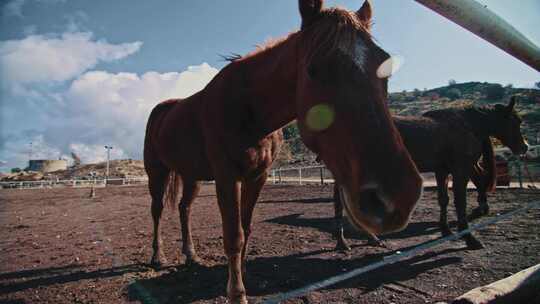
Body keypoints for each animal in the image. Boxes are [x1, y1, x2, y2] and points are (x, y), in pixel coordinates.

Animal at [144, 1, 426, 302]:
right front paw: (236, 292)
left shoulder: (257, 177)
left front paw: (242, 276)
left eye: (385, 70)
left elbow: (246, 227)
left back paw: (191, 255)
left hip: (191, 175)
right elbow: (233, 235)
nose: (399, 196)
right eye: (314, 69)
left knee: (184, 209)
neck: (247, 108)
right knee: (157, 210)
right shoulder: (226, 177)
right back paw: (158, 257)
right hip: (157, 173)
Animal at [332, 98, 528, 251]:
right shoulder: (460, 171)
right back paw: (345, 242)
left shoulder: (442, 171)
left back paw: (366, 238)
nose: (524, 147)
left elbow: (444, 199)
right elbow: (460, 203)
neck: (468, 125)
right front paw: (469, 237)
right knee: (342, 203)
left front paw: (446, 230)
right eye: (516, 121)